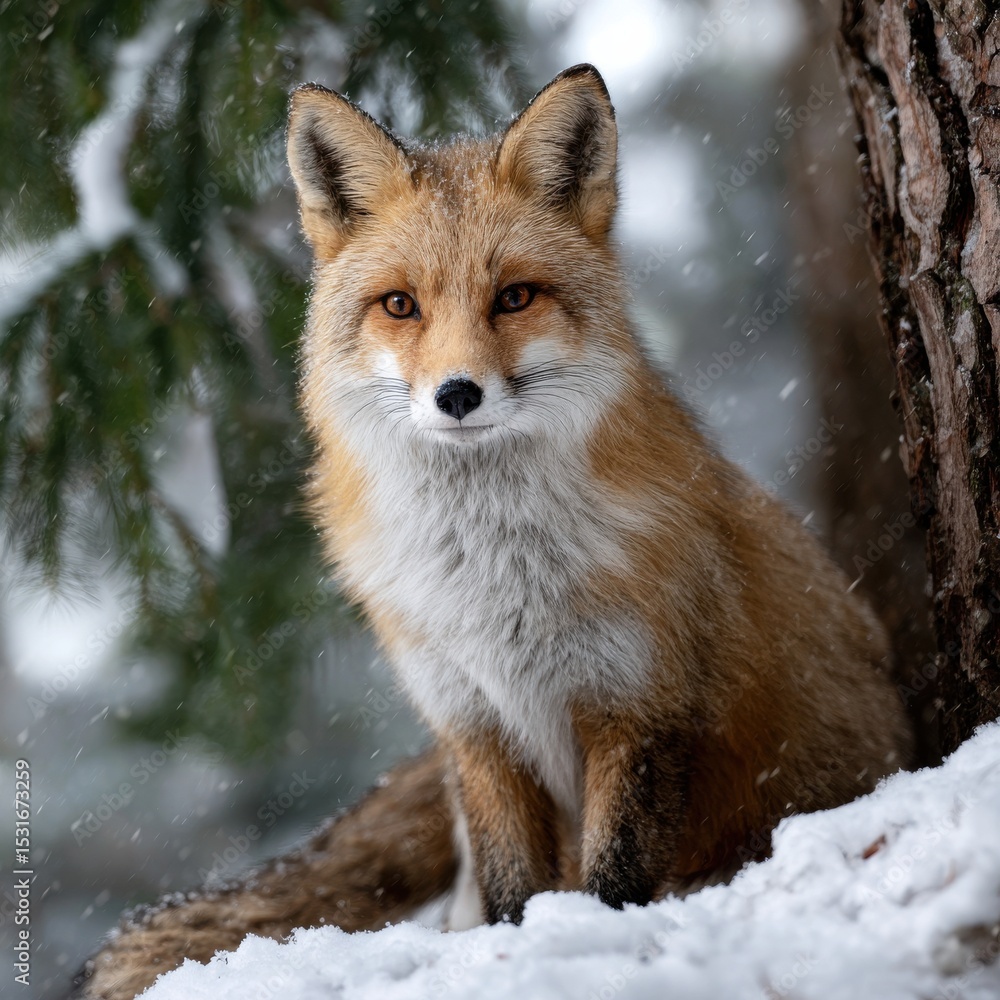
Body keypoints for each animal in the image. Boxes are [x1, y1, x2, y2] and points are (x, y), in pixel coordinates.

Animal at [74, 64, 913, 999]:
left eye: (514, 297)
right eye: (400, 305)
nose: (457, 394)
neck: (492, 585)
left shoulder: (641, 708)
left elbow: (614, 880)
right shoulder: (472, 724)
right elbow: (515, 891)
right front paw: (514, 956)